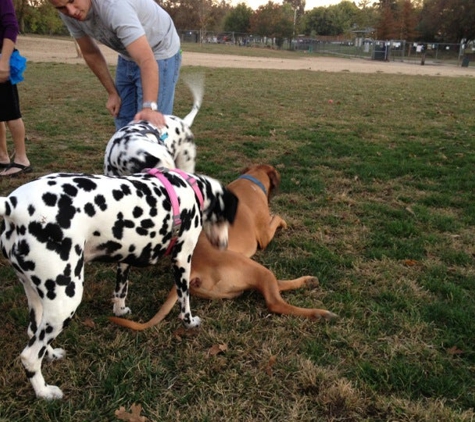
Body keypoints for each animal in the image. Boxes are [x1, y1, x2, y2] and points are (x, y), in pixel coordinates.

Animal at [0, 168, 238, 398]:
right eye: (226, 219)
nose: (225, 245)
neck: (190, 187)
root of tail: (14, 205)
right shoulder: (181, 259)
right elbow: (184, 299)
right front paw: (189, 322)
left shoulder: (125, 259)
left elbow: (121, 290)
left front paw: (120, 310)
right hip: (65, 301)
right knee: (30, 355)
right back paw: (44, 392)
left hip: (38, 297)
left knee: (33, 333)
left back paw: (51, 355)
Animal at [109, 163, 336, 328]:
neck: (251, 179)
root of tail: (195, 267)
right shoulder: (264, 236)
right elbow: (277, 217)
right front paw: (283, 222)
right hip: (252, 267)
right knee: (275, 302)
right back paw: (319, 313)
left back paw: (308, 282)